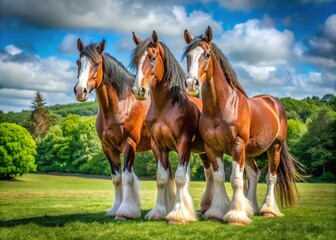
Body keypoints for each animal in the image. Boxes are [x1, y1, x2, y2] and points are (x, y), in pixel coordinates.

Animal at [75, 39, 152, 219]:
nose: (80, 91)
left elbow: (127, 178)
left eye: (97, 64)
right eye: (78, 62)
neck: (123, 103)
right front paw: (115, 208)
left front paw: (125, 212)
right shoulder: (109, 148)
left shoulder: (129, 144)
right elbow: (116, 178)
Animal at [129, 31, 215, 224]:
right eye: (136, 60)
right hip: (205, 152)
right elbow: (162, 178)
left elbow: (181, 178)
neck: (166, 106)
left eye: (152, 58)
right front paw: (158, 212)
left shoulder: (183, 143)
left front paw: (179, 215)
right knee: (211, 175)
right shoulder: (158, 146)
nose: (139, 90)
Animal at [182, 27, 304, 226]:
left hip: (274, 148)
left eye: (207, 54)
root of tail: (274, 102)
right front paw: (217, 212)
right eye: (188, 55)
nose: (191, 83)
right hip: (250, 151)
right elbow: (219, 178)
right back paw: (252, 208)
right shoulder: (212, 148)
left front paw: (236, 215)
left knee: (271, 177)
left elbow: (236, 180)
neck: (221, 108)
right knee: (254, 174)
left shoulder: (237, 146)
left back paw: (268, 210)